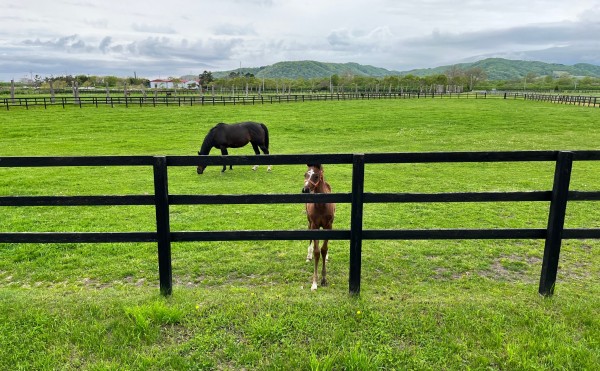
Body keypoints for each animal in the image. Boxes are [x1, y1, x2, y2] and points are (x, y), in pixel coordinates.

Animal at [302, 164, 336, 292]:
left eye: (316, 176)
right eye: (305, 174)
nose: (305, 190)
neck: (321, 205)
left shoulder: (328, 225)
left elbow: (324, 249)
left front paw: (324, 279)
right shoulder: (315, 225)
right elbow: (317, 252)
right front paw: (314, 283)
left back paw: (326, 257)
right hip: (309, 222)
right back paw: (308, 256)